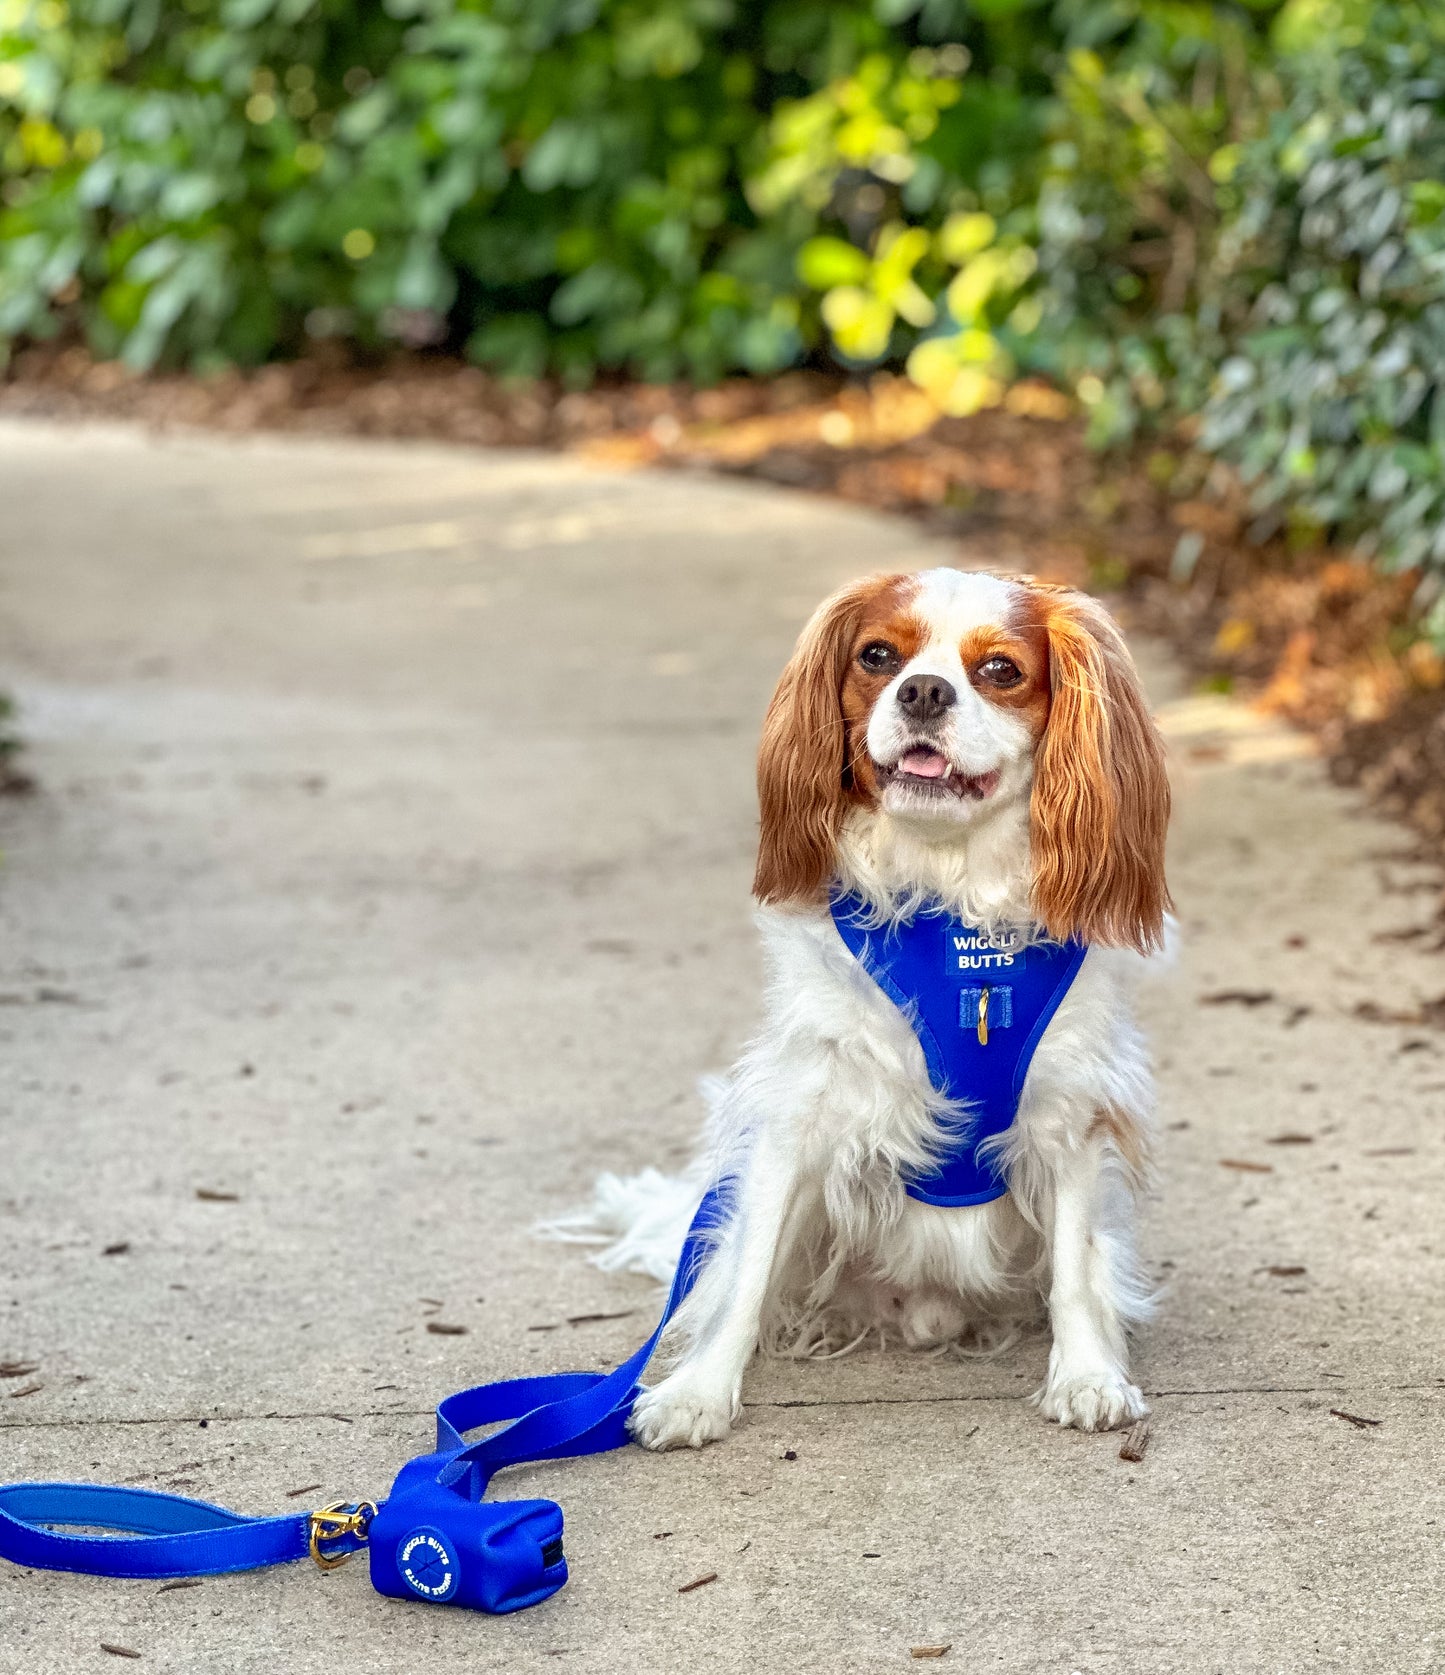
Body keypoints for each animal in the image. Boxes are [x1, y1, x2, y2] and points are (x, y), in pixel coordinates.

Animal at [552, 569, 1178, 1447]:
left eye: (1000, 670)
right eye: (878, 656)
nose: (922, 691)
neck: (950, 905)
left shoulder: (1071, 1112)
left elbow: (1076, 1266)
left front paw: (1087, 1373)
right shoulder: (801, 1110)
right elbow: (745, 1276)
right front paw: (697, 1392)